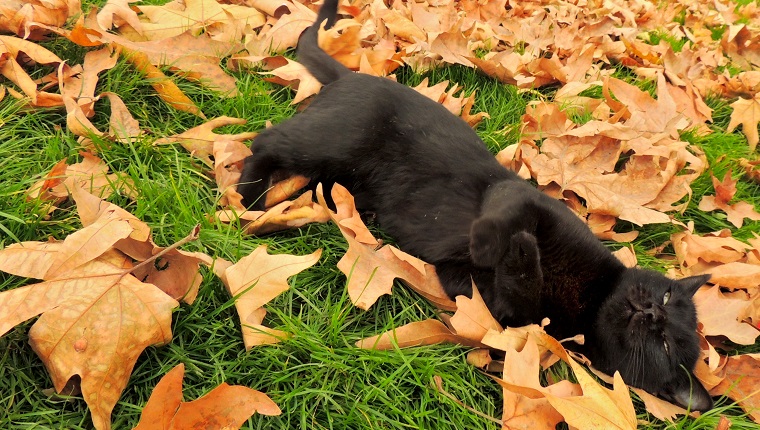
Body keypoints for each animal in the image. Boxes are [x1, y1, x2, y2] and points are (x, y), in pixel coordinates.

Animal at [238, 0, 712, 412]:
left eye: (666, 344)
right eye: (666, 295)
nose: (651, 312)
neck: (589, 298)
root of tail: (352, 76)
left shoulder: (485, 299)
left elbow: (519, 293)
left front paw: (520, 256)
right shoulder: (521, 195)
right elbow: (508, 215)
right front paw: (492, 242)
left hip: (333, 163)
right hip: (334, 141)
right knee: (265, 141)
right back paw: (248, 202)